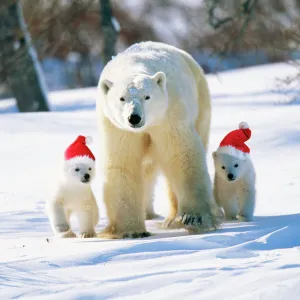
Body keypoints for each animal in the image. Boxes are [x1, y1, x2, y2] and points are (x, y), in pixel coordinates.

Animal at [97, 41, 219, 238]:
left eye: (147, 96)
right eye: (122, 98)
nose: (134, 118)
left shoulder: (168, 115)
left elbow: (181, 155)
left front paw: (194, 218)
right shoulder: (117, 128)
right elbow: (123, 163)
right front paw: (131, 230)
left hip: (201, 103)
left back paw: (172, 219)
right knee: (146, 170)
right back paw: (149, 214)